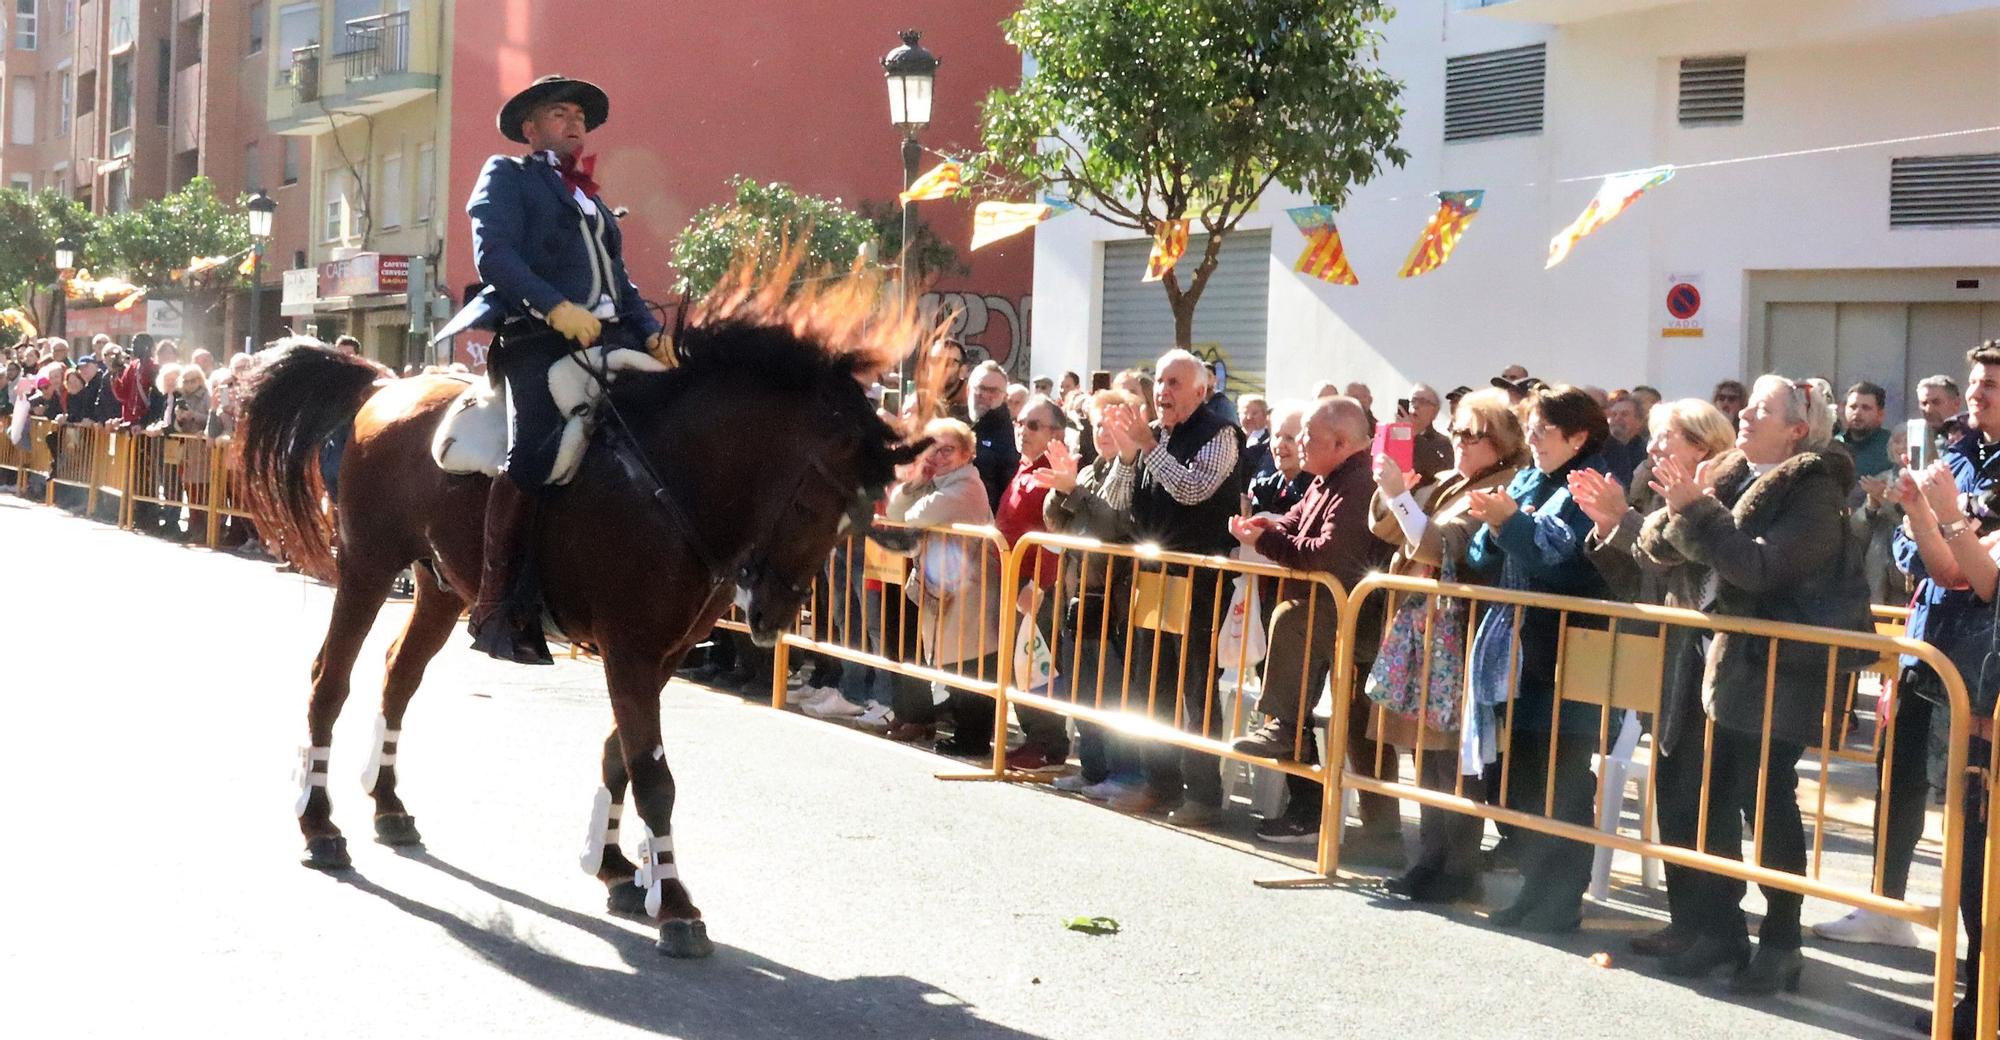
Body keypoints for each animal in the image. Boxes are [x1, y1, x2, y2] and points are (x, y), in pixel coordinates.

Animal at [236, 262, 928, 960]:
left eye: (855, 520)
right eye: (813, 505)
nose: (771, 619)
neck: (669, 478)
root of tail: (385, 387)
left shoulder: (666, 651)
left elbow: (620, 754)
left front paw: (618, 868)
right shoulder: (630, 649)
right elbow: (652, 774)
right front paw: (675, 905)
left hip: (440, 586)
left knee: (398, 676)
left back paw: (387, 806)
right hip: (368, 567)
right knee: (330, 679)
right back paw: (319, 826)